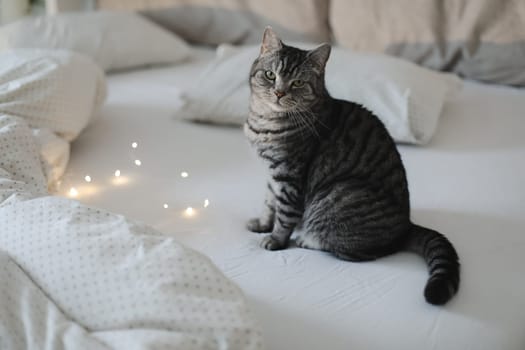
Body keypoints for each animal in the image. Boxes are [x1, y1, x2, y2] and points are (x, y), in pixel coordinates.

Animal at [243, 28, 458, 306]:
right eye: (270, 75)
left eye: (298, 83)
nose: (279, 93)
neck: (264, 122)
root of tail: (406, 226)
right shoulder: (272, 176)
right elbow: (269, 204)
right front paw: (262, 224)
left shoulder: (289, 176)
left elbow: (285, 214)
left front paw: (275, 240)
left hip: (337, 194)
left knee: (357, 252)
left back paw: (306, 239)